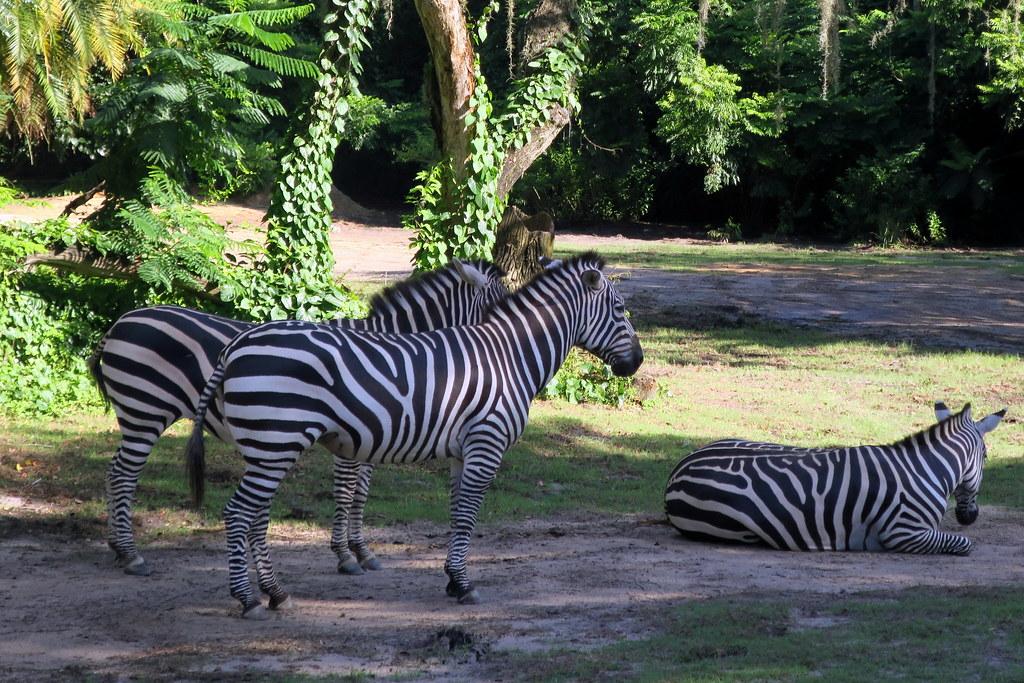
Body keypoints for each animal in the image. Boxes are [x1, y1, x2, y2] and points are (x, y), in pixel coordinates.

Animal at [90, 260, 505, 577]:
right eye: (500, 307)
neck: (392, 355)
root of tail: (117, 325)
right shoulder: (351, 438)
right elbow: (345, 491)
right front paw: (344, 556)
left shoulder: (374, 437)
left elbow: (362, 493)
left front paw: (363, 551)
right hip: (146, 411)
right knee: (124, 475)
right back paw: (131, 555)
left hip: (137, 415)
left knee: (114, 471)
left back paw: (117, 547)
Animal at [663, 401, 1007, 557]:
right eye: (987, 457)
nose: (968, 517)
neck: (925, 469)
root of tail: (679, 468)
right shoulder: (902, 532)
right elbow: (964, 544)